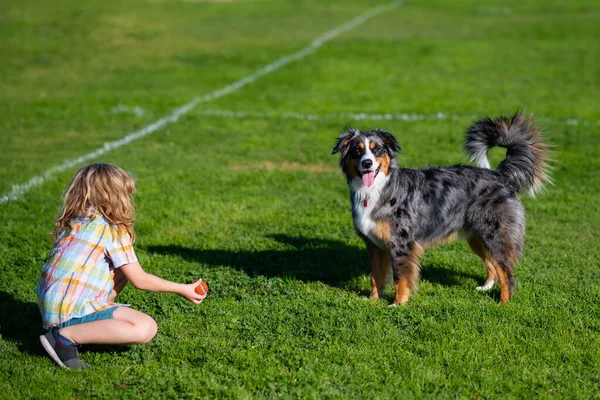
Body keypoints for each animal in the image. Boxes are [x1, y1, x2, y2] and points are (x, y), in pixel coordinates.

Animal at [330, 111, 552, 304]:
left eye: (377, 150)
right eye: (357, 150)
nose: (367, 163)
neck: (377, 190)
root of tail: (500, 175)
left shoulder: (401, 243)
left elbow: (400, 278)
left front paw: (397, 304)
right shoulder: (374, 244)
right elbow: (376, 276)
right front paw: (372, 301)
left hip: (495, 235)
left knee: (506, 271)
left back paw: (503, 303)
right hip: (477, 237)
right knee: (492, 264)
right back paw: (485, 287)